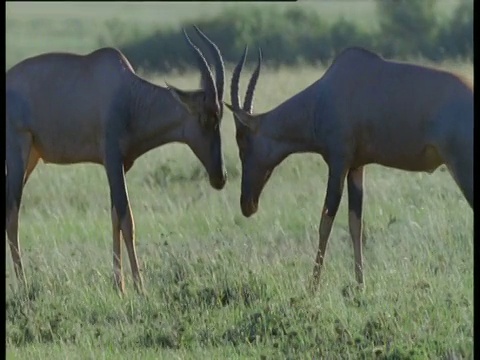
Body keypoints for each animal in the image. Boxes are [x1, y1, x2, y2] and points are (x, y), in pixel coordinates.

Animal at [5, 26, 227, 294]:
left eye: (221, 117)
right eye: (206, 118)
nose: (220, 177)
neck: (129, 95)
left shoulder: (120, 166)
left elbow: (114, 217)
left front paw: (119, 286)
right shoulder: (111, 161)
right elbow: (126, 217)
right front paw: (140, 288)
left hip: (31, 159)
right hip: (17, 153)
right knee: (12, 213)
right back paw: (24, 285)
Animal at [225, 45, 472, 292]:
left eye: (242, 141)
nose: (247, 205)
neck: (325, 93)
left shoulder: (338, 162)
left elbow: (325, 221)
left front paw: (313, 287)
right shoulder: (356, 167)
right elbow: (356, 224)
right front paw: (360, 285)